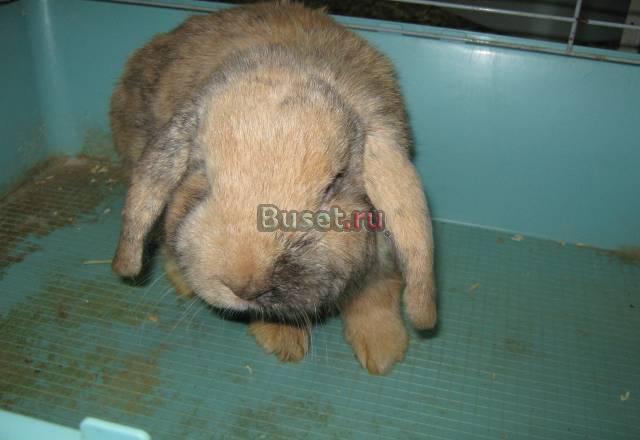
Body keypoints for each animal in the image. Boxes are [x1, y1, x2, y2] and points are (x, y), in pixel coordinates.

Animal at [110, 1, 436, 374]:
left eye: (334, 184)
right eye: (202, 173)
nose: (244, 285)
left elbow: (377, 292)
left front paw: (383, 352)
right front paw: (284, 342)